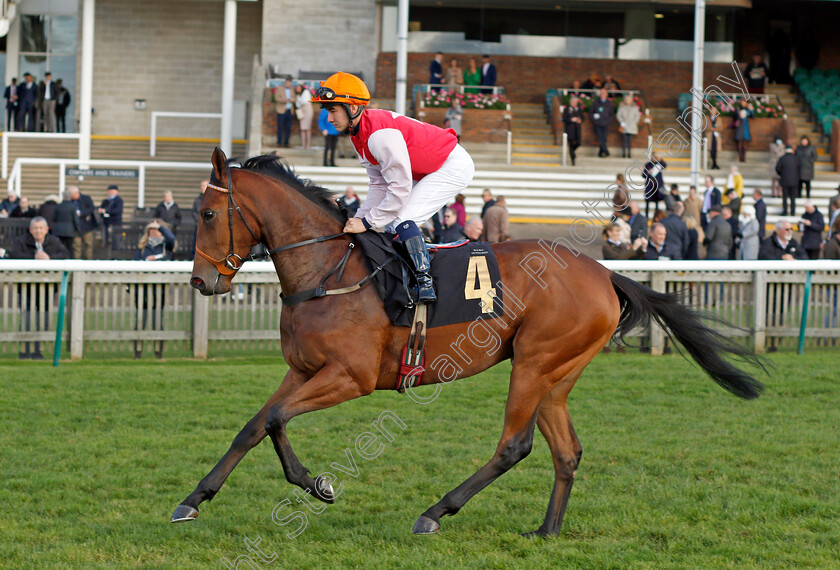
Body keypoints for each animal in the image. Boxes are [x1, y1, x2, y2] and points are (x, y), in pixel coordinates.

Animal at [171, 149, 760, 536]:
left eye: (206, 213)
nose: (201, 281)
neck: (327, 269)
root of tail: (603, 272)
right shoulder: (301, 370)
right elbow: (255, 425)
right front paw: (195, 500)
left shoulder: (350, 377)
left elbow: (274, 419)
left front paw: (316, 484)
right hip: (558, 373)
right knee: (566, 451)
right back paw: (546, 531)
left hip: (534, 362)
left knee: (515, 445)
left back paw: (435, 513)